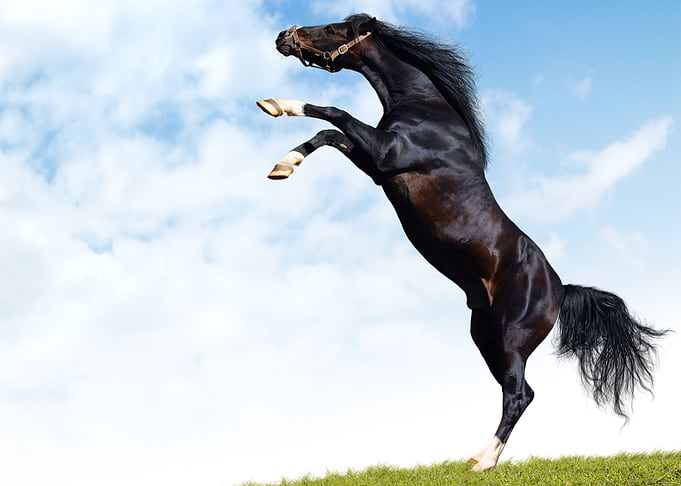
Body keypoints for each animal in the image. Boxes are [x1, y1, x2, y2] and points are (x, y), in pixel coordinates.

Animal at [256, 14, 669, 471]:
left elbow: (333, 113)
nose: (282, 37)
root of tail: (561, 289)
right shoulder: (375, 164)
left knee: (519, 395)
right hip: (485, 337)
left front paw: (275, 105)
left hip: (511, 339)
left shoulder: (387, 154)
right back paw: (476, 457)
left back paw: (484, 462)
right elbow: (329, 135)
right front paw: (283, 165)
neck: (426, 109)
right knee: (516, 392)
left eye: (333, 28)